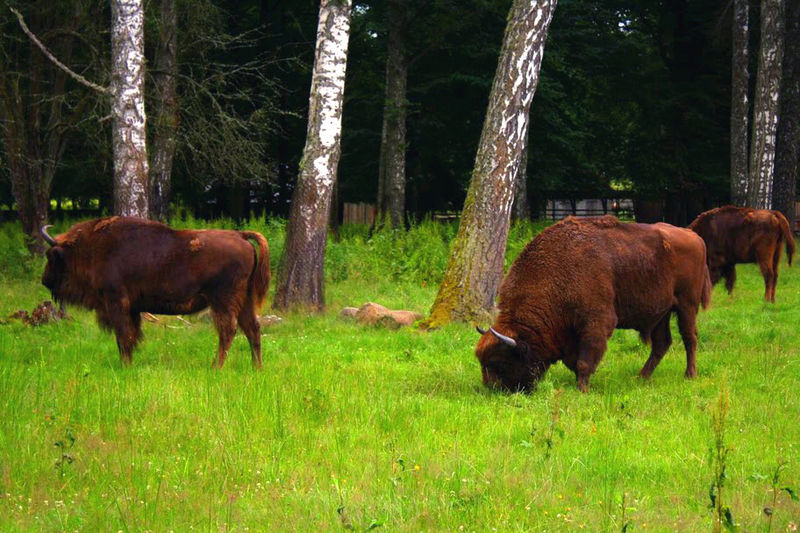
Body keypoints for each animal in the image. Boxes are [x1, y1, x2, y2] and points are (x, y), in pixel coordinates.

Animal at [40, 216, 270, 366]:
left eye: (51, 256)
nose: (44, 280)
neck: (94, 247)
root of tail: (240, 235)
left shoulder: (117, 303)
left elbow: (123, 335)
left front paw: (125, 365)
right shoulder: (132, 309)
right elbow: (131, 336)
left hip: (223, 300)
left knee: (229, 330)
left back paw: (216, 367)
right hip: (244, 300)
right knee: (252, 328)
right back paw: (256, 368)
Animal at [472, 214, 708, 392]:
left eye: (499, 362)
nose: (490, 389)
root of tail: (694, 236)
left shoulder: (596, 322)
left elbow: (585, 360)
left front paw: (582, 389)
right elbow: (575, 361)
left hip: (686, 306)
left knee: (690, 338)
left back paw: (690, 375)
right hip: (661, 313)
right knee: (662, 343)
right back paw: (641, 377)